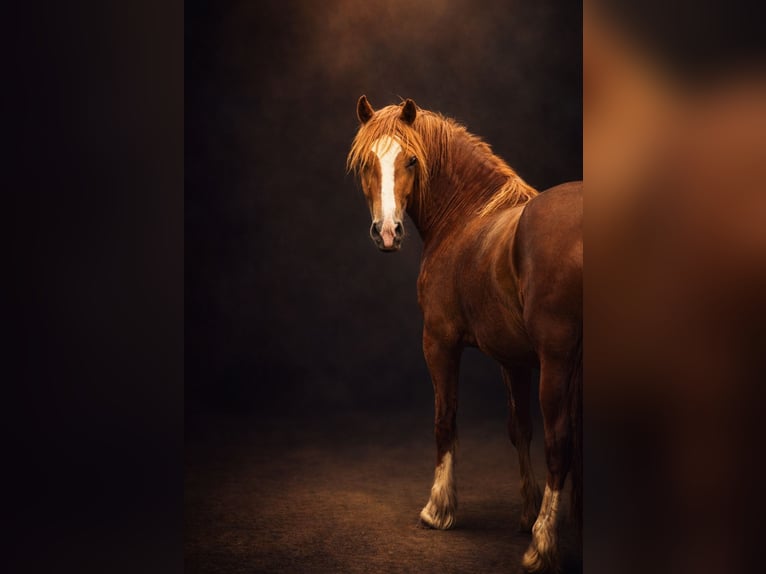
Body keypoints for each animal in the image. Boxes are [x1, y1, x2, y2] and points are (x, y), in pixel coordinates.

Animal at [347, 96, 582, 573]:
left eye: (412, 160)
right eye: (365, 163)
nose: (387, 232)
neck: (469, 217)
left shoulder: (439, 343)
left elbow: (445, 420)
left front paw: (439, 509)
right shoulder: (514, 359)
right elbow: (519, 428)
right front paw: (526, 513)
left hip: (558, 363)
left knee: (560, 444)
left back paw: (542, 546)